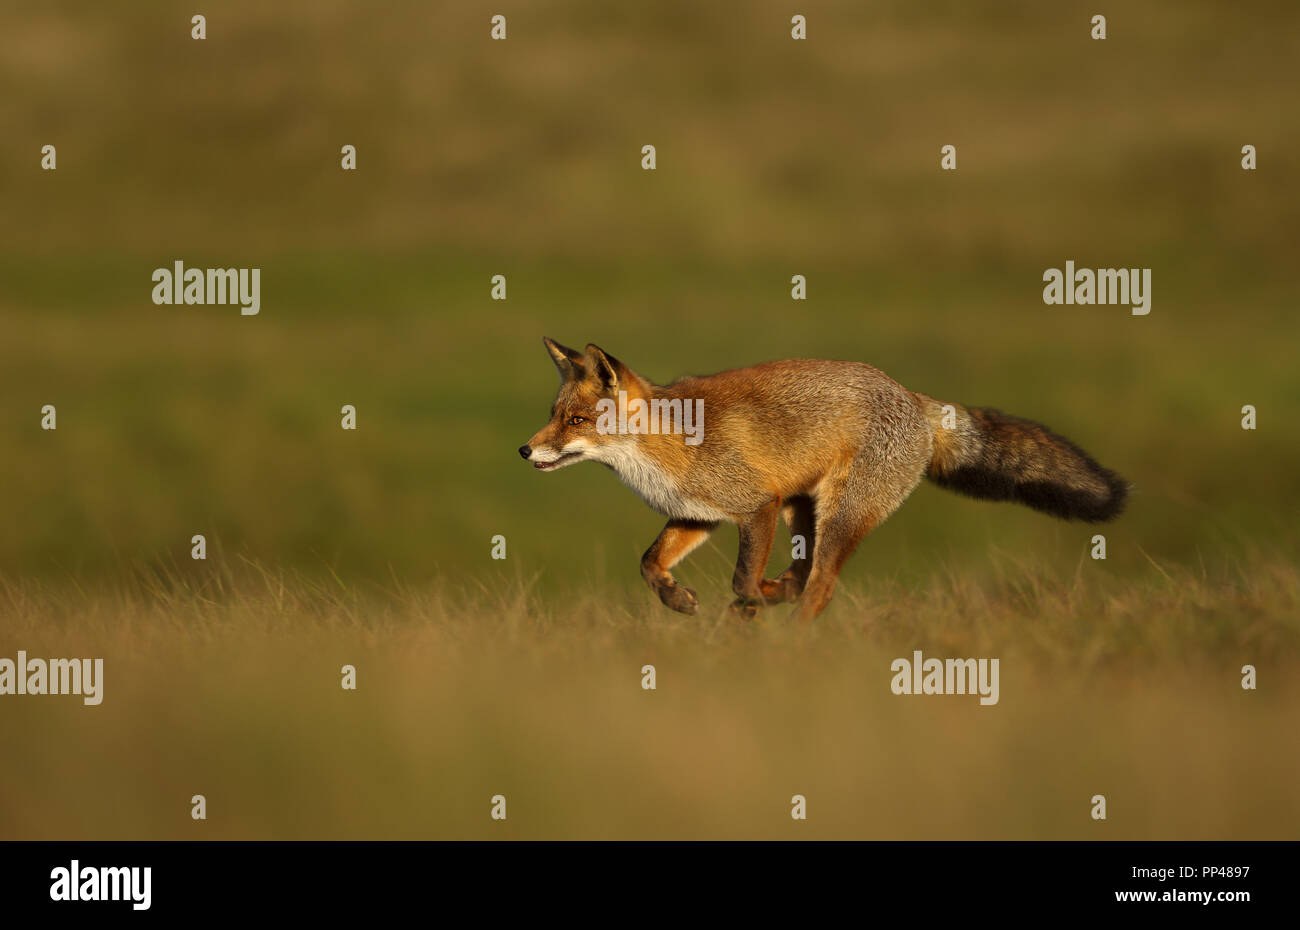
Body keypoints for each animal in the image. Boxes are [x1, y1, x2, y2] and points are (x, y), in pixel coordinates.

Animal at [517, 338, 1128, 621]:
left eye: (576, 421)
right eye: (554, 413)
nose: (524, 449)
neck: (668, 448)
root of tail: (912, 397)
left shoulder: (756, 505)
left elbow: (740, 579)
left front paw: (745, 611)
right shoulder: (699, 514)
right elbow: (648, 562)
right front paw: (679, 600)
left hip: (835, 514)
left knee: (822, 585)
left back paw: (793, 637)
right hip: (802, 511)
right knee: (804, 575)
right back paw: (780, 598)